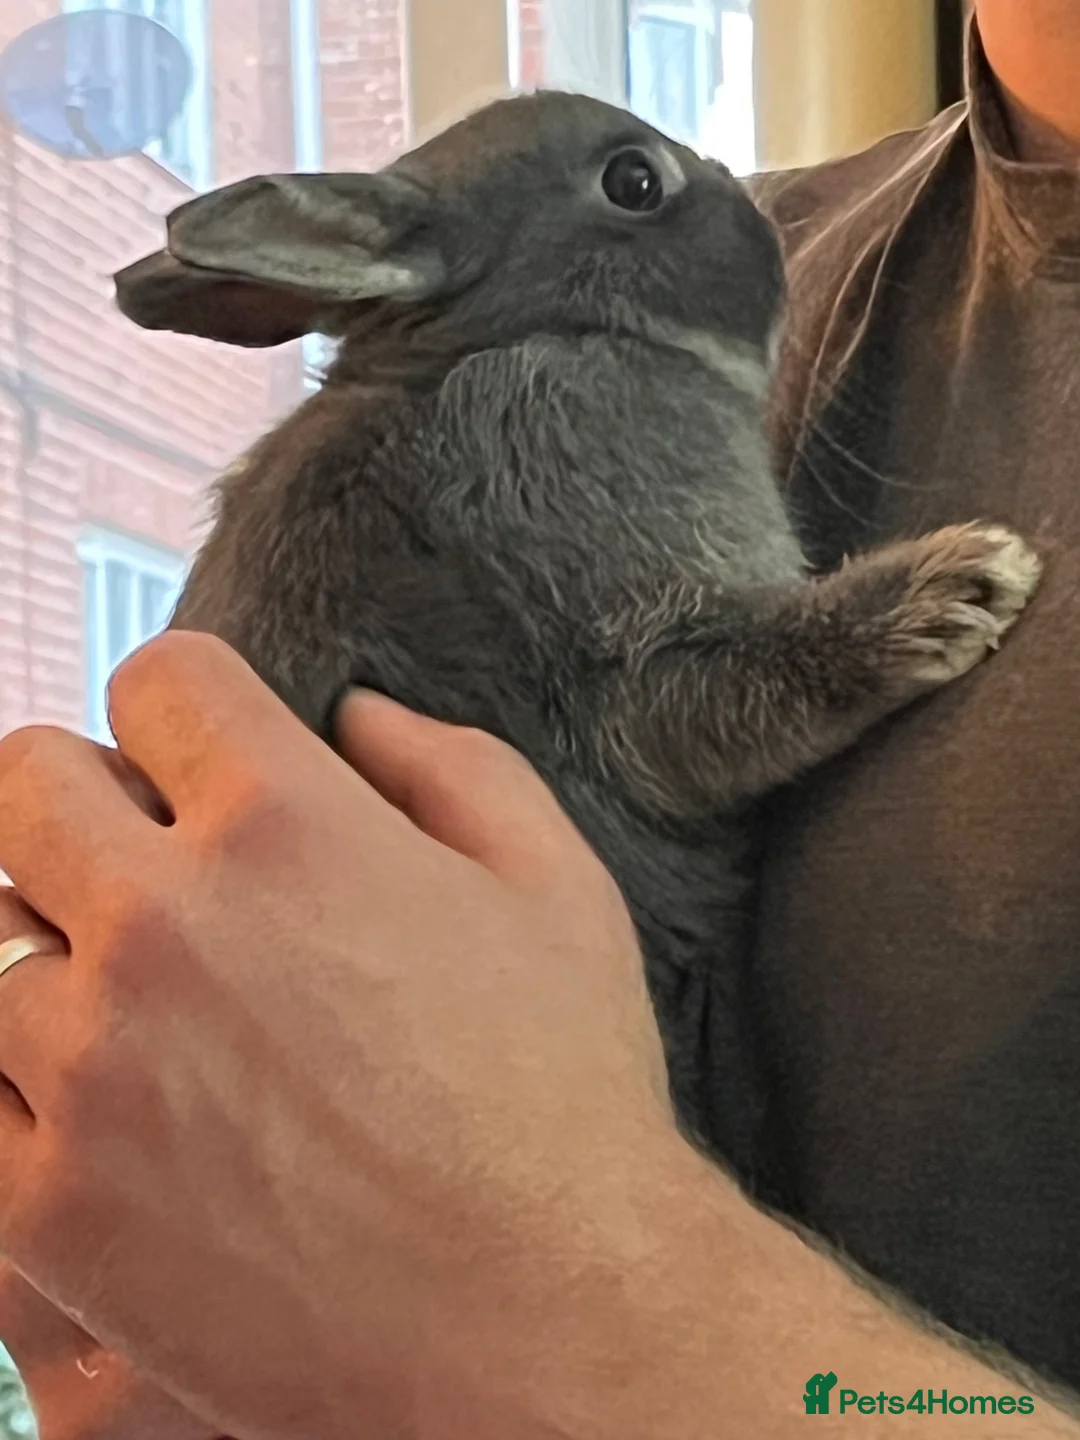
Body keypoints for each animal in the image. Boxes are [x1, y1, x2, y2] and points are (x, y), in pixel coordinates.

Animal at [113, 91, 1041, 1200]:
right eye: (635, 182)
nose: (758, 209)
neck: (526, 330)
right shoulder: (621, 617)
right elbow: (719, 689)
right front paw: (966, 581)